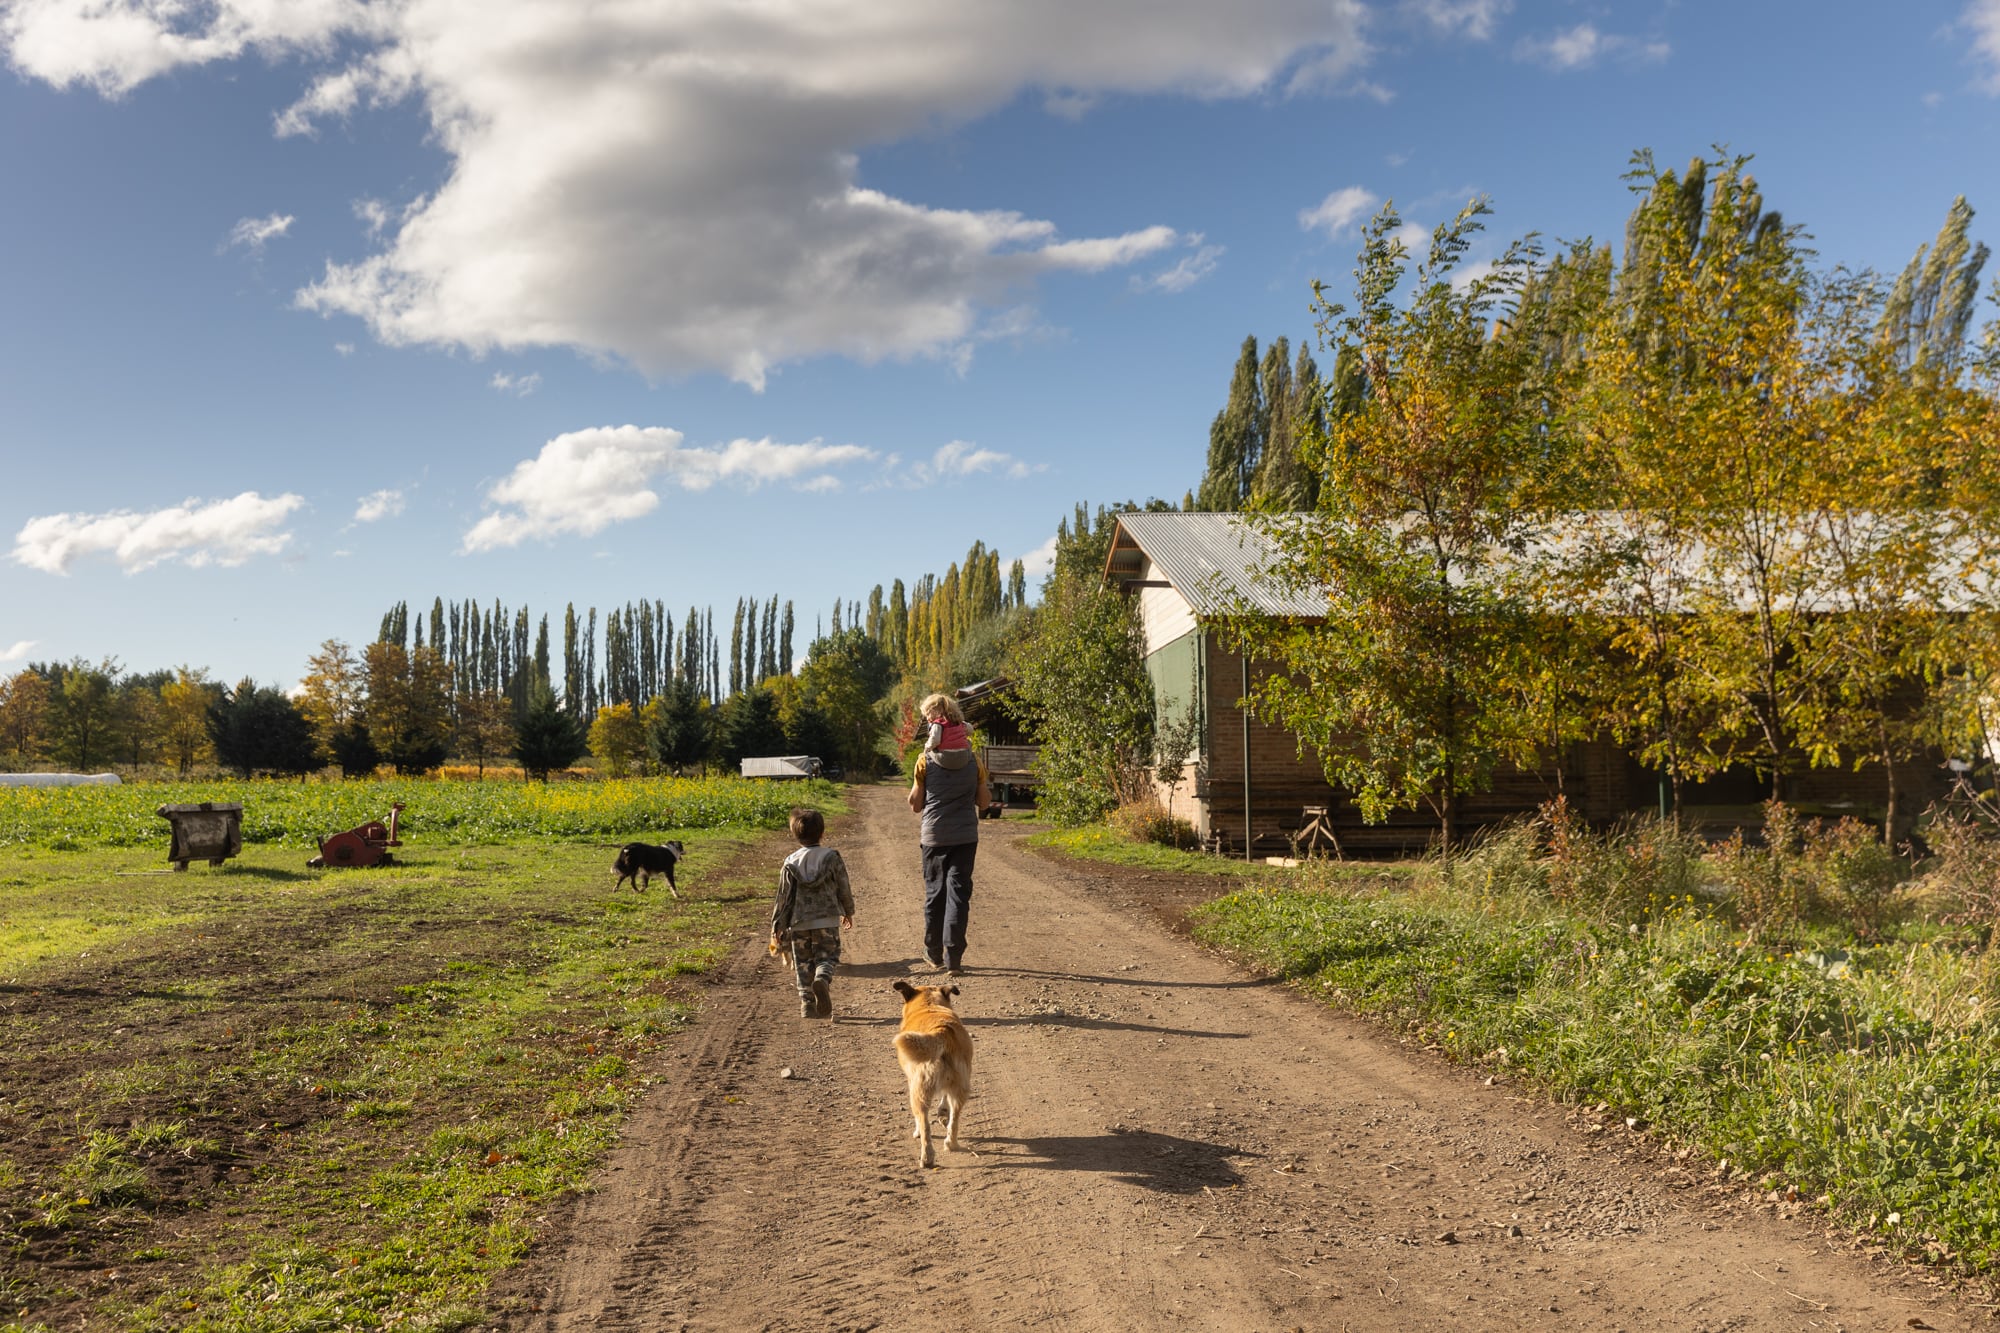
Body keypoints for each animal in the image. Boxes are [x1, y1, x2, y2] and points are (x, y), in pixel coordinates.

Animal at [900, 976, 976, 1160]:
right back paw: (951, 1144)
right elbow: (944, 1098)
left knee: (924, 1122)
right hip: (961, 1087)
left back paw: (927, 1157)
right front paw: (942, 1111)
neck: (928, 1005)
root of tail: (941, 1032)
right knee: (954, 1119)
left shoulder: (911, 1079)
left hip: (918, 1092)